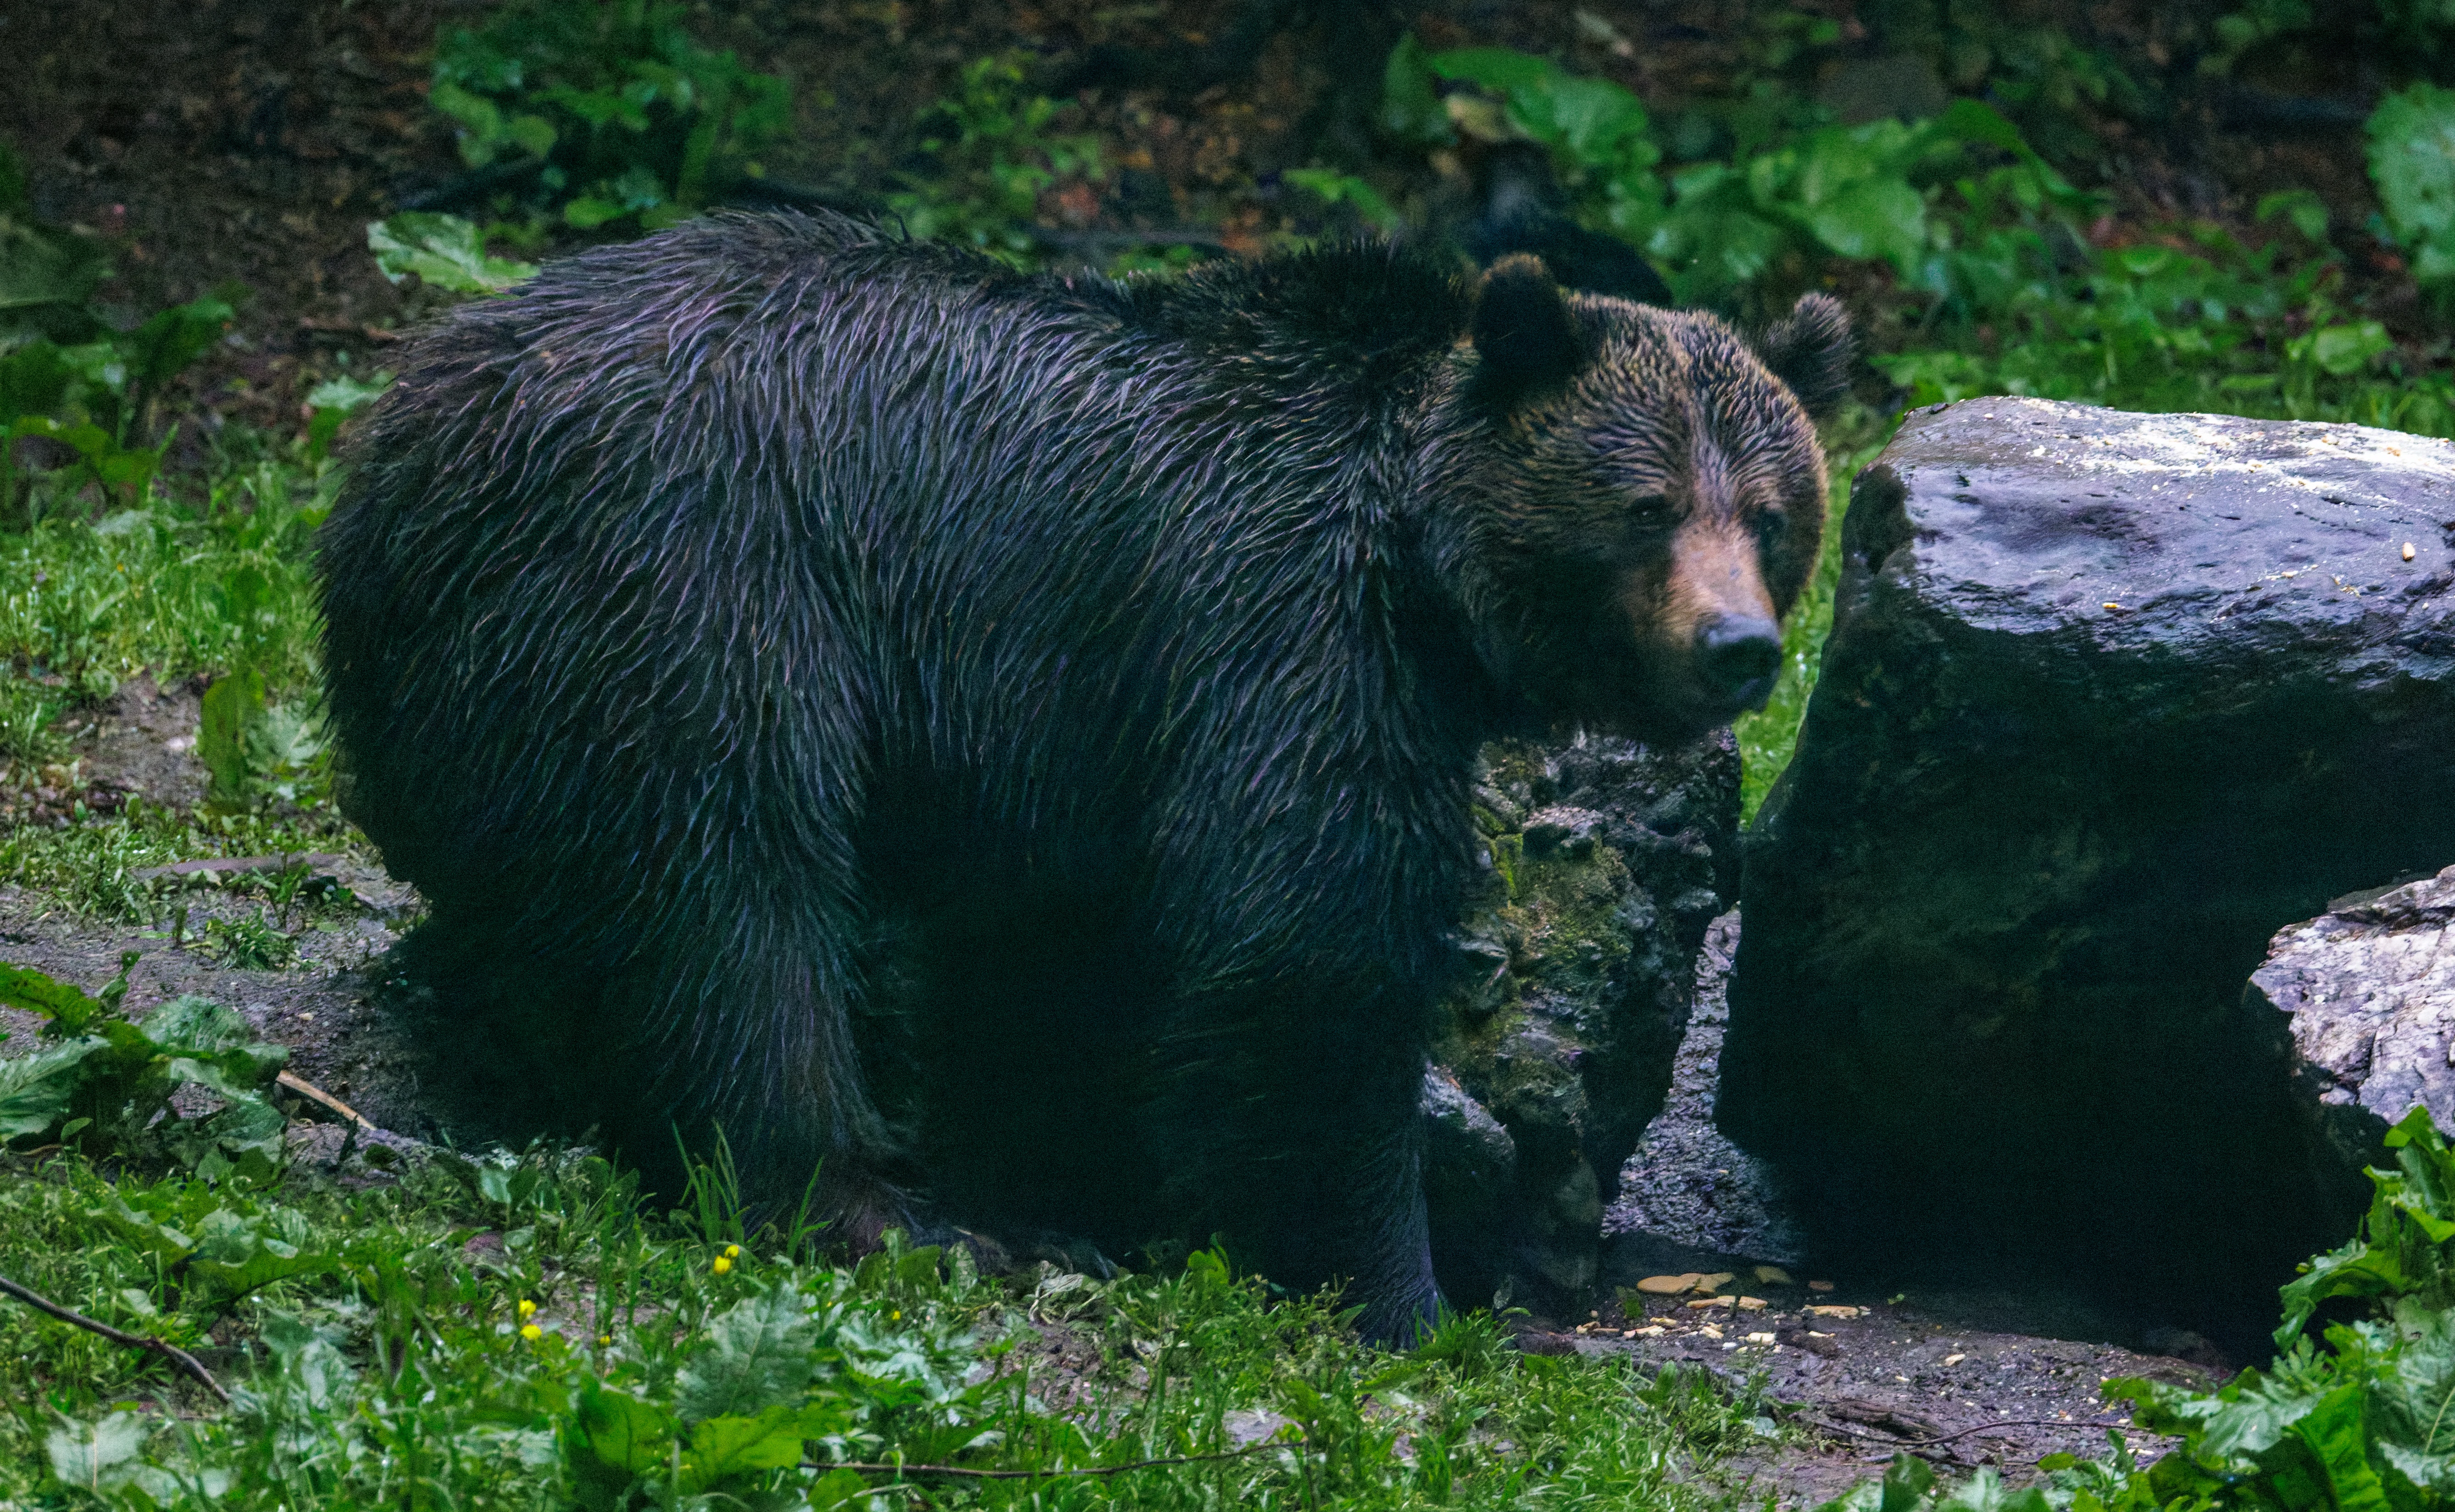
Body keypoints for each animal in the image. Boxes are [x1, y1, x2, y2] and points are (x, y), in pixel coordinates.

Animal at [319, 211, 1848, 1340]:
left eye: (1772, 514)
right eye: (1645, 506)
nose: (1737, 649)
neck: (1425, 576)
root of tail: (393, 447)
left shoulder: (1086, 726)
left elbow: (1062, 961)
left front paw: (1069, 1183)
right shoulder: (1279, 633)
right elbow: (1305, 958)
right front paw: (1390, 1286)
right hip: (687, 588)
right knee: (724, 902)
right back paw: (864, 1202)